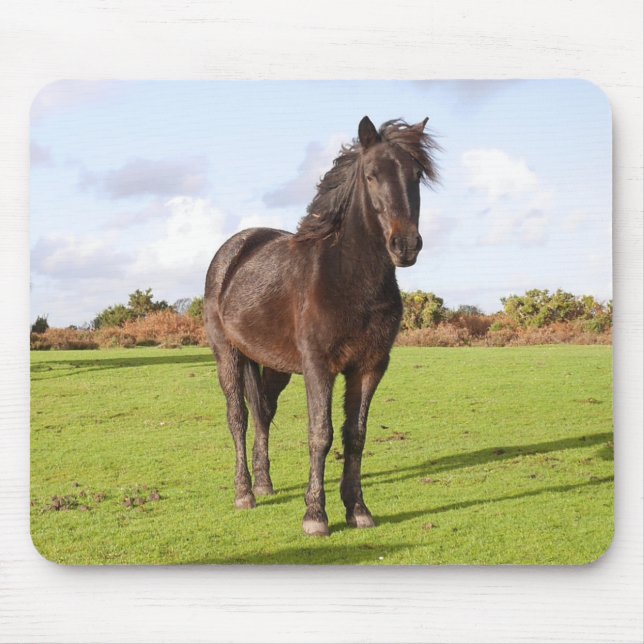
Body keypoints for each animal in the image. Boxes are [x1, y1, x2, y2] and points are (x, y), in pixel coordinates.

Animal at [204, 116, 438, 536]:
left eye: (416, 175)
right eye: (371, 175)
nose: (406, 245)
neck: (347, 278)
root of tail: (234, 249)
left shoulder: (370, 367)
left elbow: (355, 435)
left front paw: (358, 509)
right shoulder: (318, 367)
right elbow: (320, 434)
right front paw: (315, 515)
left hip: (274, 366)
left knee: (263, 413)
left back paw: (264, 484)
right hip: (226, 355)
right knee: (239, 418)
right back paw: (244, 493)